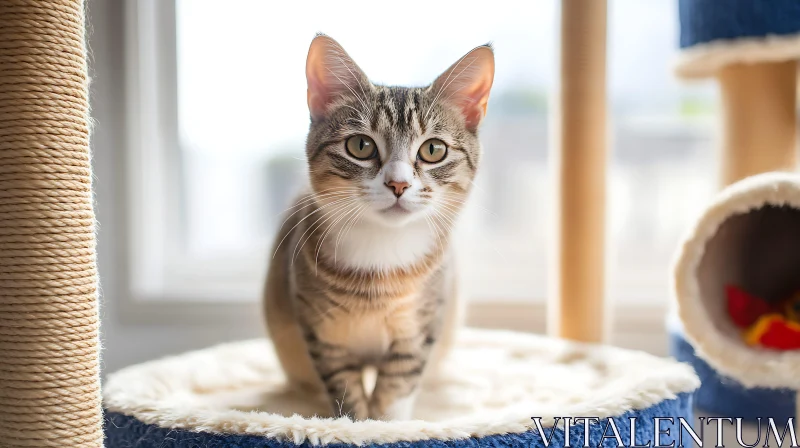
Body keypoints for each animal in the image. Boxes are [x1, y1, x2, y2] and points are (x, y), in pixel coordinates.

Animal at [264, 34, 494, 420]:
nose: (398, 184)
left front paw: (390, 422)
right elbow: (345, 390)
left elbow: (397, 385)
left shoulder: (420, 326)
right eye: (360, 145)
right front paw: (356, 424)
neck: (383, 255)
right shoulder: (323, 335)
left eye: (433, 149)